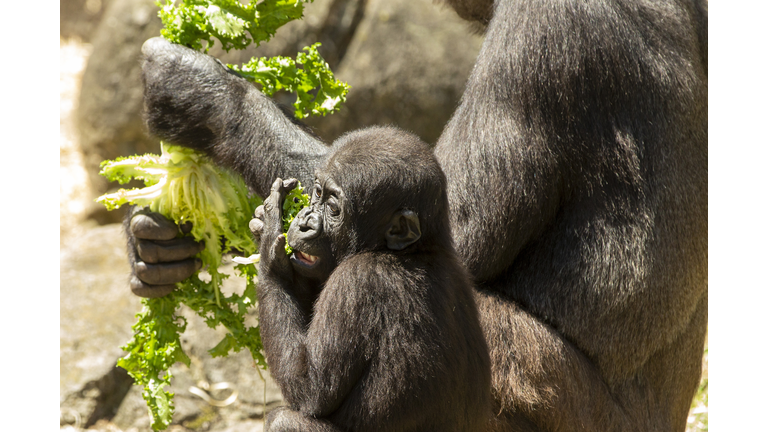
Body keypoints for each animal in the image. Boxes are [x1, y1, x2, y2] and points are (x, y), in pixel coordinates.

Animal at [254, 126, 492, 430]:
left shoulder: (355, 280)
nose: (304, 222)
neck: (416, 249)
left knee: (284, 419)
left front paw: (271, 245)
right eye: (317, 193)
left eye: (333, 208)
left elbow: (309, 386)